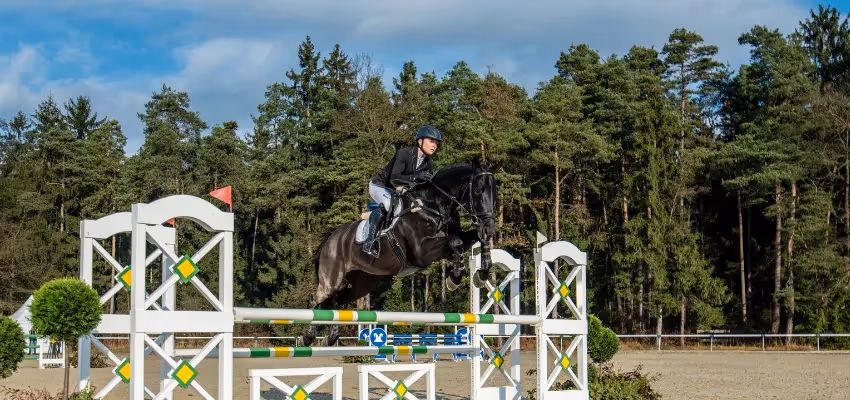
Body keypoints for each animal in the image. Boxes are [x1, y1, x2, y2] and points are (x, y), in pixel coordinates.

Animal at [303, 159, 498, 346]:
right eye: (478, 190)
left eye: (494, 191)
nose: (490, 229)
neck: (433, 206)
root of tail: (329, 240)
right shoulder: (421, 252)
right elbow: (455, 242)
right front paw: (454, 278)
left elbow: (466, 240)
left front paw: (482, 273)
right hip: (332, 278)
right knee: (317, 299)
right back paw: (308, 336)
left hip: (363, 282)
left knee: (336, 302)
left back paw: (331, 337)